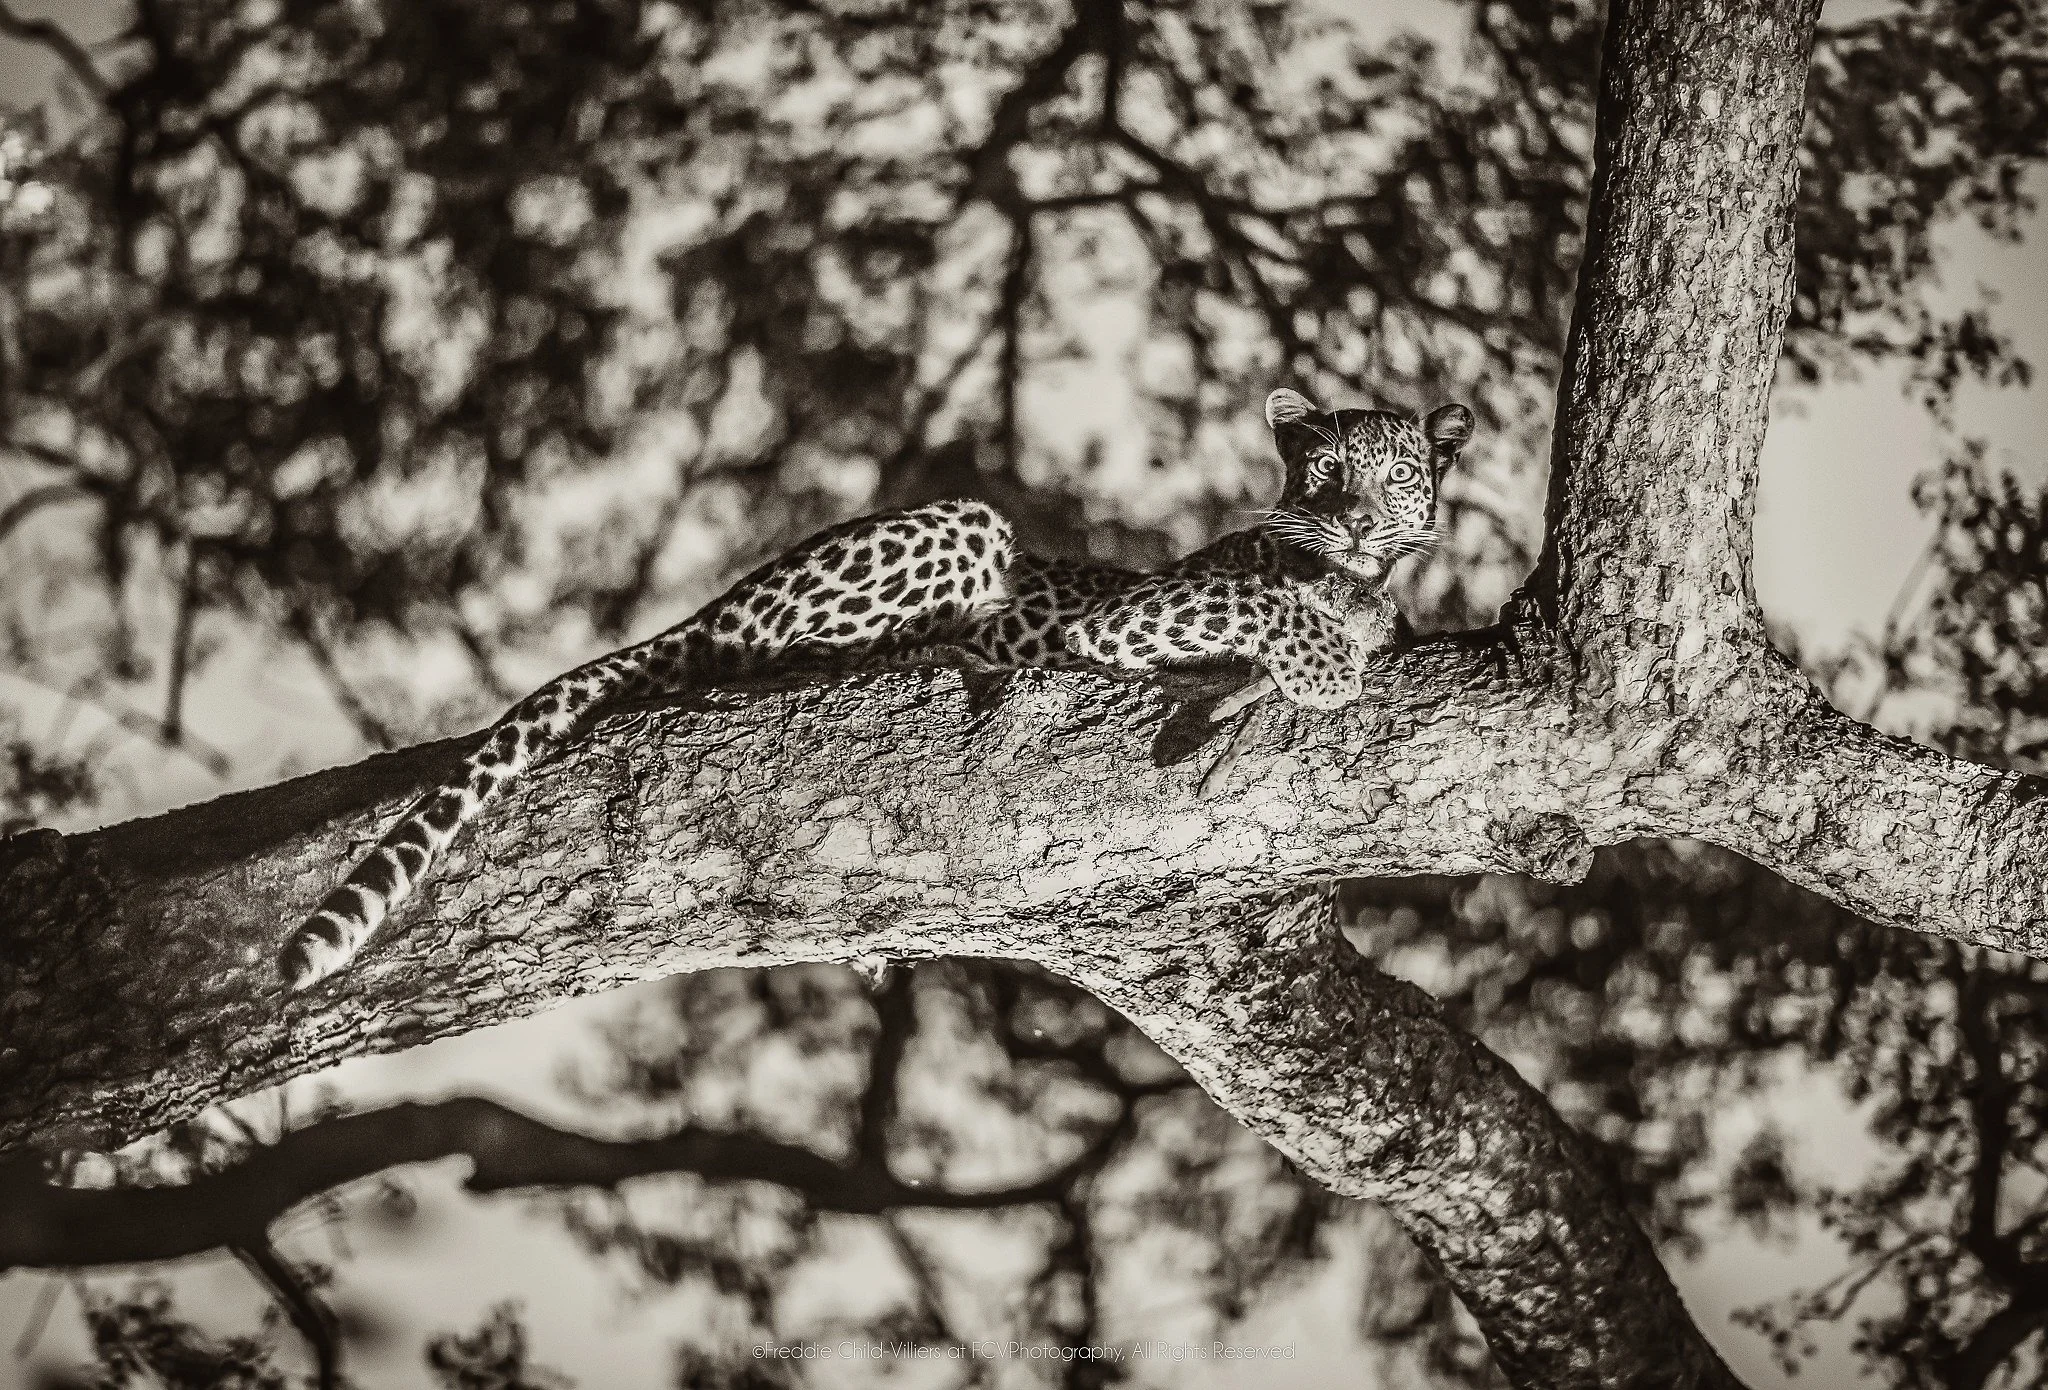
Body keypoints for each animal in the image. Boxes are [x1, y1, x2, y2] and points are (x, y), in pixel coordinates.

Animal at [278, 388, 1472, 991]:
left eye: (1397, 476)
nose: (1356, 523)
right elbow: (1257, 603)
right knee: (789, 656)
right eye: (1325, 473)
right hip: (957, 537)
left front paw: (1362, 617)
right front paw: (1322, 658)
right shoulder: (1133, 609)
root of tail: (715, 600)